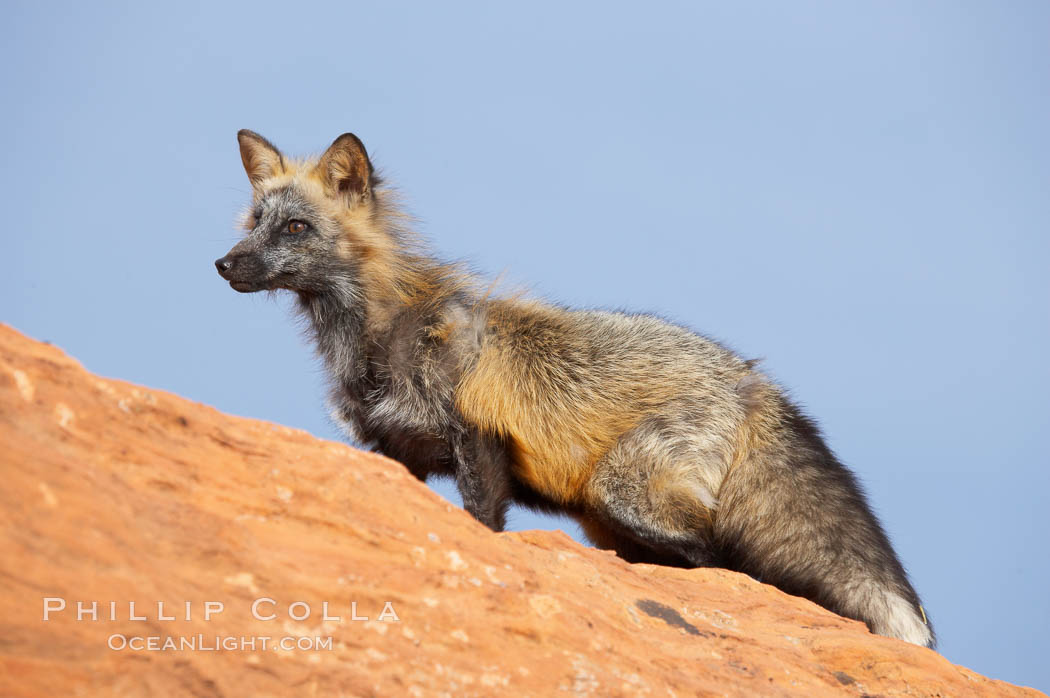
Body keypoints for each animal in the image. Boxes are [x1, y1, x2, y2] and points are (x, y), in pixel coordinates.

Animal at [215, 129, 936, 646]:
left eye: (296, 228)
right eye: (254, 222)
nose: (222, 264)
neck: (379, 336)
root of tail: (752, 376)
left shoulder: (478, 438)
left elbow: (481, 525)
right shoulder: (395, 456)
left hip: (623, 496)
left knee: (725, 561)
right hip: (612, 523)